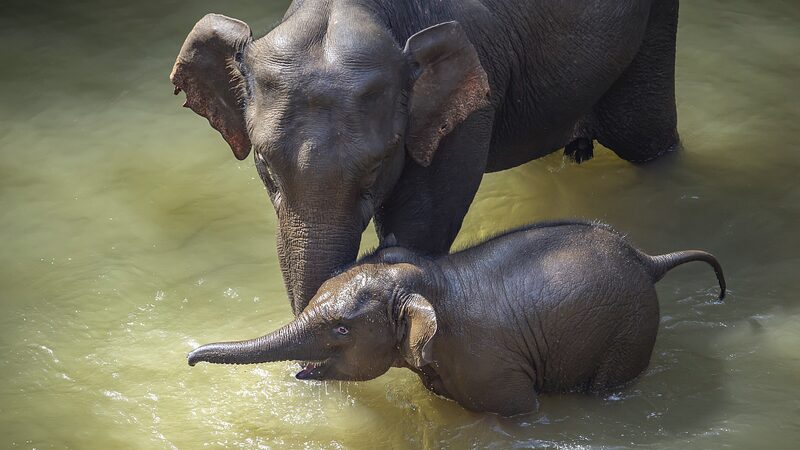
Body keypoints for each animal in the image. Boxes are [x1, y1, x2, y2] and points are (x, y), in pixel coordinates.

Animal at [187, 221, 725, 416]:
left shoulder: (492, 369)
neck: (429, 279)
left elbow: (519, 410)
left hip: (629, 331)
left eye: (340, 328)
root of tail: (648, 260)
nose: (189, 360)